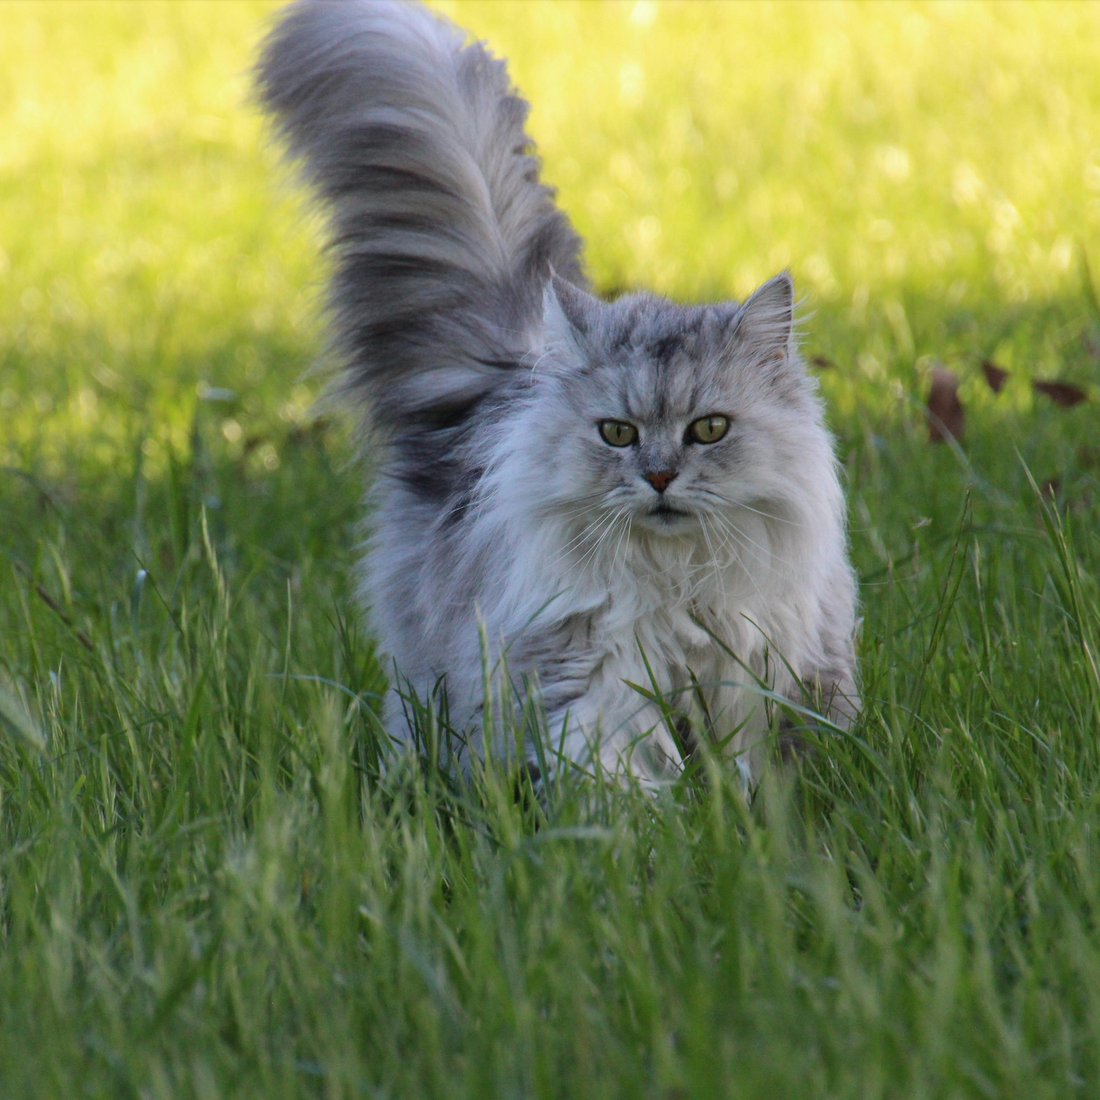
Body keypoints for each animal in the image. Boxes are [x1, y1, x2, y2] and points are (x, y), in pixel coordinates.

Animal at [257, 4, 858, 787]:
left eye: (709, 430)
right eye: (617, 433)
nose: (659, 477)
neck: (676, 581)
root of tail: (508, 372)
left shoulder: (764, 668)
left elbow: (760, 770)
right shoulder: (593, 669)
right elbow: (615, 769)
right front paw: (641, 818)